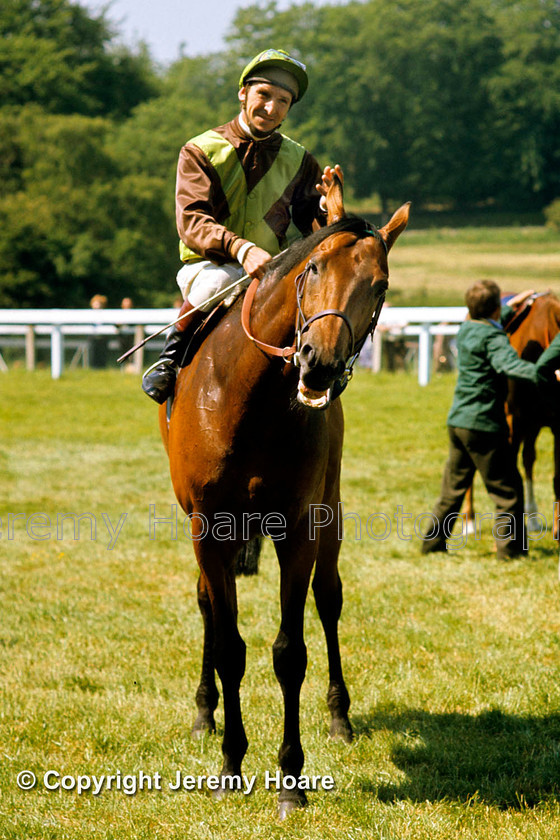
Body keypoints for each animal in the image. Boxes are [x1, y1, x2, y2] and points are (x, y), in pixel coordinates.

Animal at [160, 179, 410, 820]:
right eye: (314, 266)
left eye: (380, 285)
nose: (318, 364)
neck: (250, 400)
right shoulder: (210, 526)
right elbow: (229, 644)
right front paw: (229, 759)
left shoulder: (297, 524)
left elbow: (290, 651)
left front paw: (291, 778)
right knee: (206, 606)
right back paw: (204, 710)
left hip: (332, 510)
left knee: (329, 597)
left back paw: (340, 715)